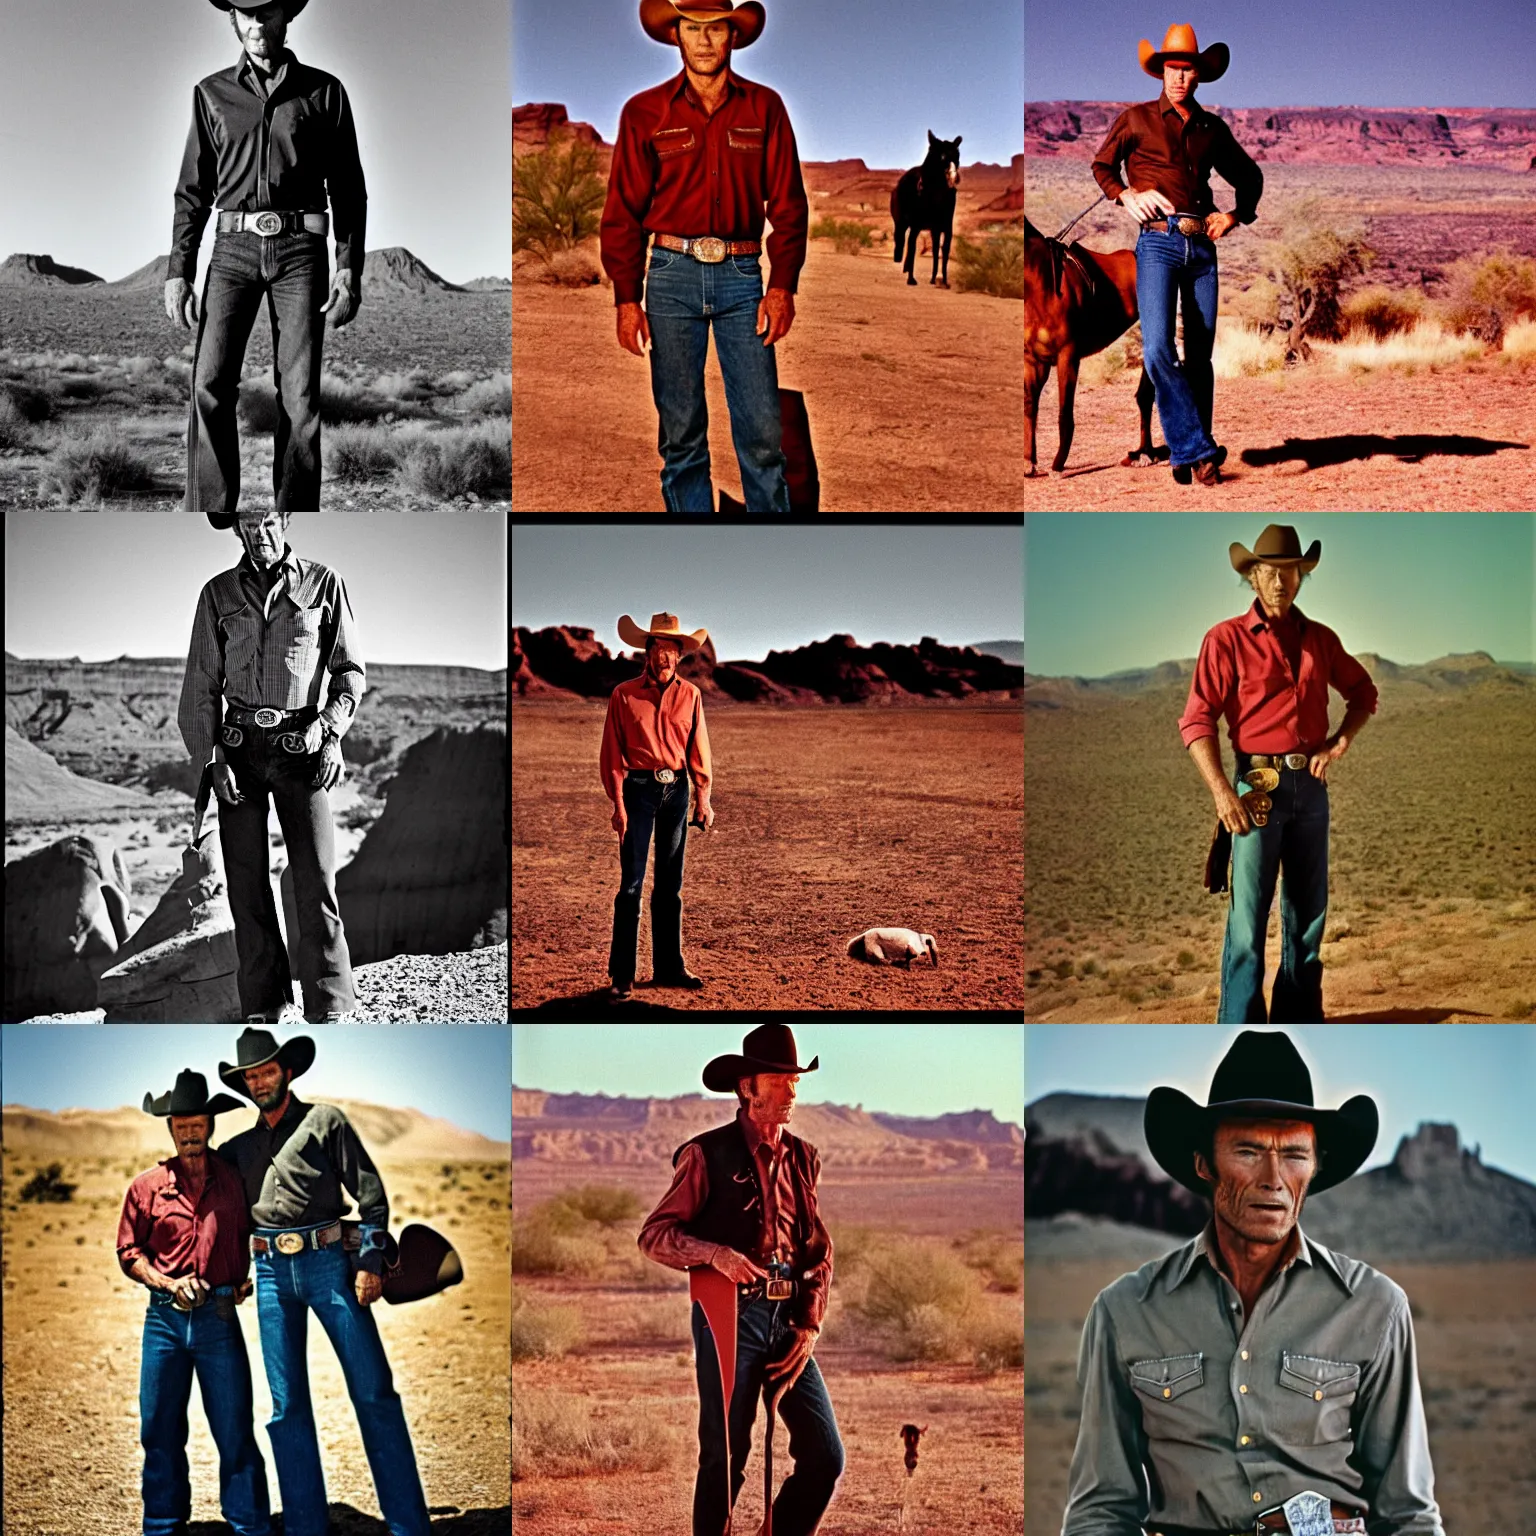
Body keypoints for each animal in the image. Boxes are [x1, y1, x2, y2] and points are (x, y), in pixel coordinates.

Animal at [890, 132, 958, 288]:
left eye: (957, 155)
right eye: (942, 156)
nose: (953, 177)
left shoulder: (944, 227)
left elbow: (942, 251)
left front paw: (942, 280)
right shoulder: (919, 226)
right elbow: (913, 247)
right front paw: (912, 279)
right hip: (902, 223)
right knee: (902, 240)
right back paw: (901, 262)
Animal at [1026, 213, 1155, 470]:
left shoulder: (1068, 355)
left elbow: (1064, 412)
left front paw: (1058, 464)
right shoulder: (1034, 361)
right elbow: (1030, 407)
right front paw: (1029, 462)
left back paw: (1145, 453)